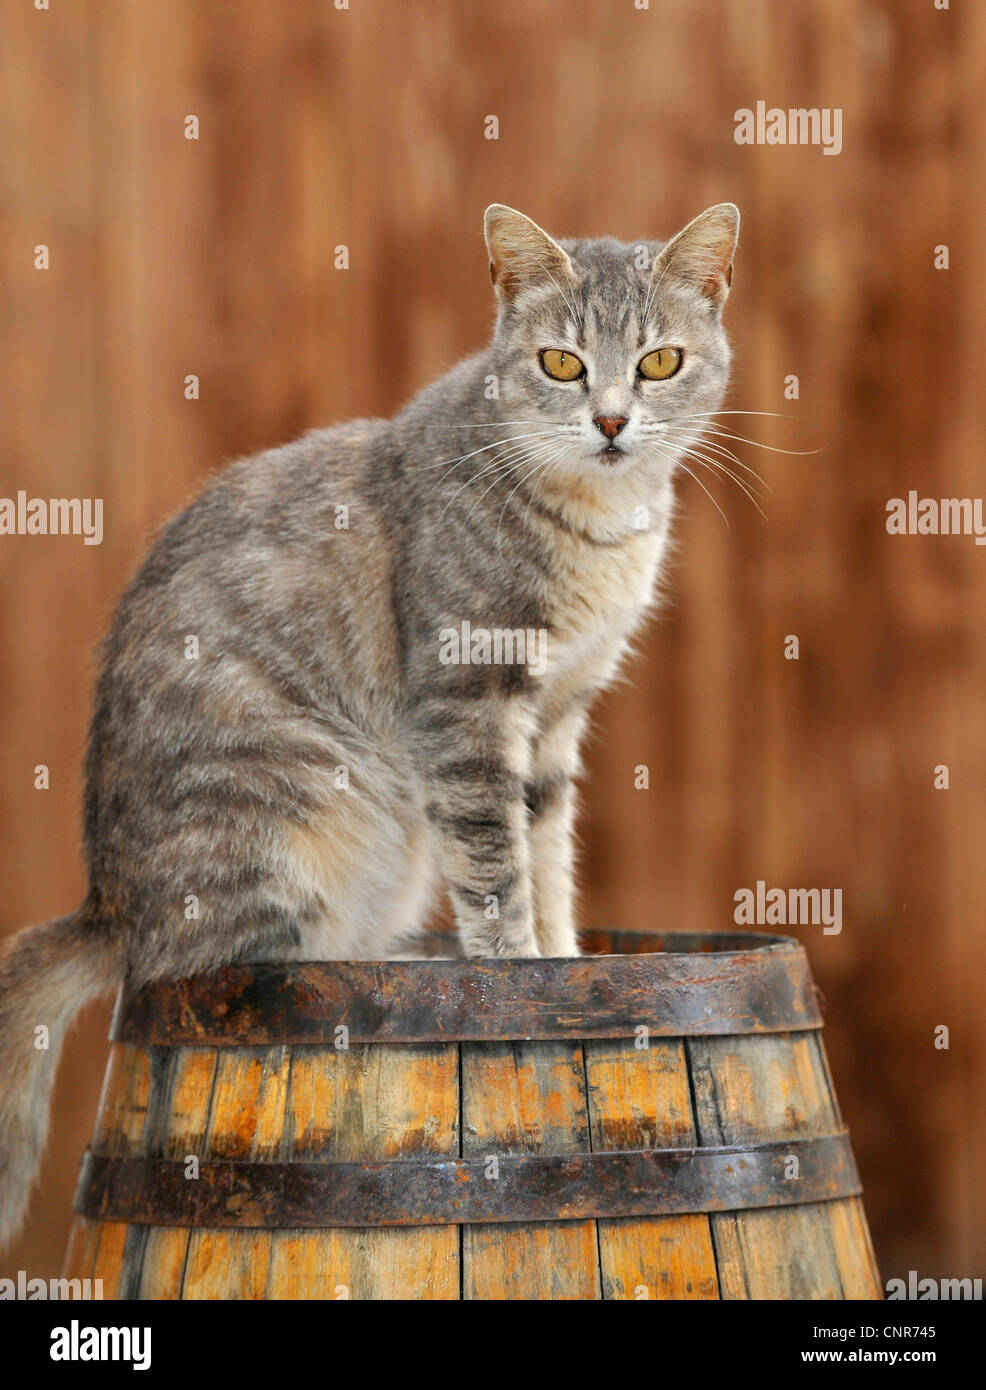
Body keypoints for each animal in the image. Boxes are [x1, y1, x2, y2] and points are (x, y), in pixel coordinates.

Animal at [0, 198, 739, 1251]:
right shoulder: (465, 708)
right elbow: (496, 872)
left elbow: (550, 860)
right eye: (562, 364)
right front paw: (520, 985)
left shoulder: (555, 722)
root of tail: (108, 908)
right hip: (299, 807)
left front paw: (566, 969)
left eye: (660, 362)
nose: (609, 419)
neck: (598, 531)